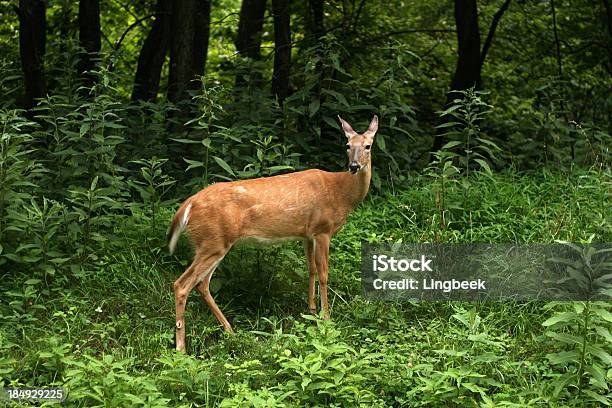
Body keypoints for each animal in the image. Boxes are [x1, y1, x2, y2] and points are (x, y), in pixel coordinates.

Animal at [167, 114, 378, 350]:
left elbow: (311, 269)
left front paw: (312, 311)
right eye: (347, 145)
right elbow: (324, 274)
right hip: (213, 241)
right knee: (182, 284)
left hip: (212, 243)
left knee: (202, 284)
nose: (354, 166)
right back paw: (181, 347)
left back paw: (230, 331)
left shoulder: (308, 234)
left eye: (368, 146)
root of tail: (188, 205)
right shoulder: (323, 230)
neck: (341, 192)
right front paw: (326, 319)